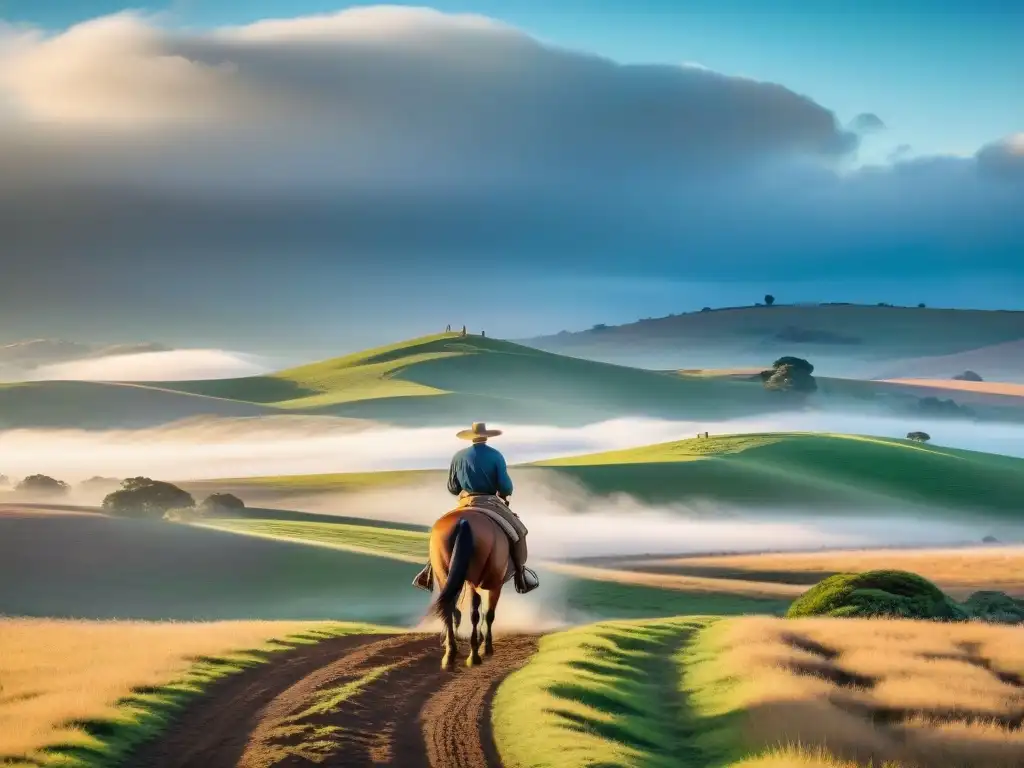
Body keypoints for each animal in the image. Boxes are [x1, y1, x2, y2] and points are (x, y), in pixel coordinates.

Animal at [425, 512, 509, 667]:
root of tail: (462, 522)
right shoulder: (494, 585)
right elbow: (488, 614)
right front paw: (487, 648)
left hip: (443, 574)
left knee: (449, 609)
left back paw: (450, 654)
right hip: (475, 580)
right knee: (474, 613)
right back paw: (473, 656)